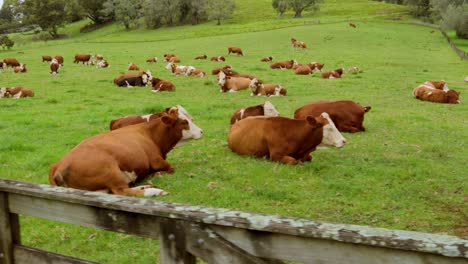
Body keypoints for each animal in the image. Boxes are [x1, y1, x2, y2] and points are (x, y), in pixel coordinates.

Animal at [49, 107, 203, 196]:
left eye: (191, 118)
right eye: (184, 122)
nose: (201, 131)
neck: (151, 134)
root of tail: (59, 165)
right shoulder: (157, 160)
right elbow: (170, 168)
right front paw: (156, 175)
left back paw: (146, 185)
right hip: (111, 170)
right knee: (122, 191)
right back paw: (153, 190)